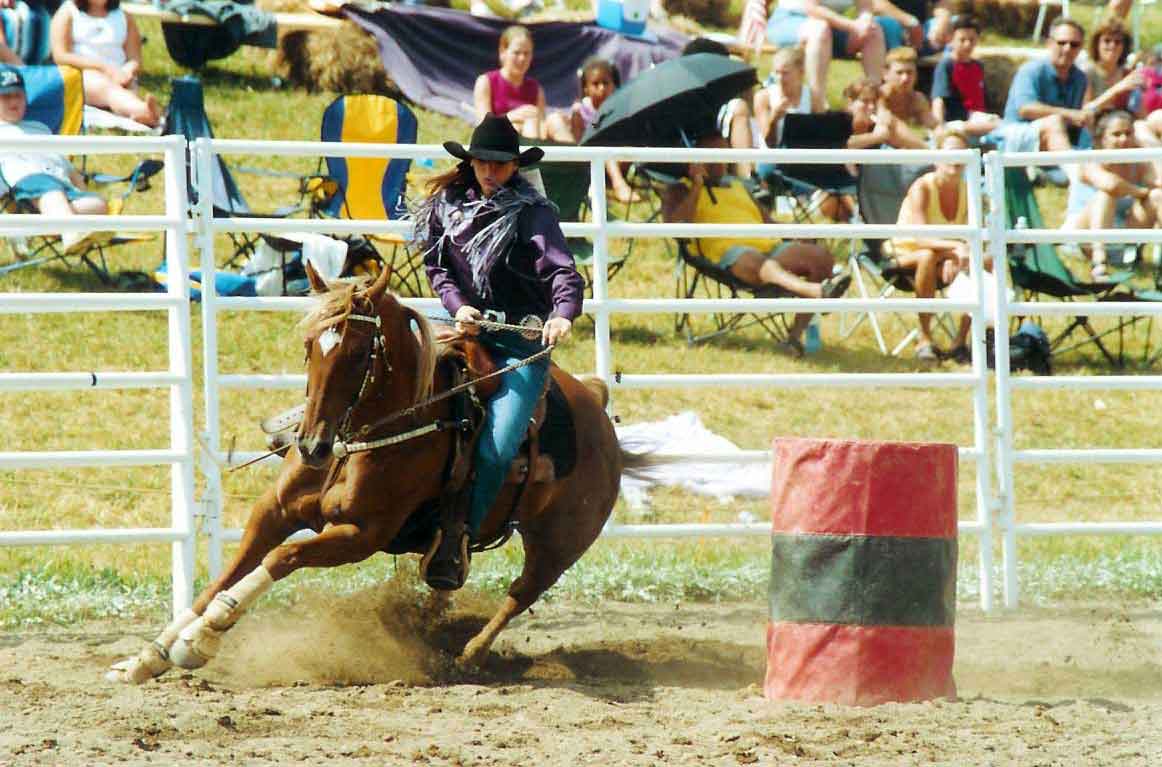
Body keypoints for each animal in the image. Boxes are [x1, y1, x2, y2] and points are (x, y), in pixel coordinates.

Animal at [109, 266, 636, 687]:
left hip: (560, 544)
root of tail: (595, 402)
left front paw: (204, 636)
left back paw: (467, 656)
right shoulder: (273, 512)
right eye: (309, 347)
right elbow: (223, 576)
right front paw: (148, 657)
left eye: (359, 354)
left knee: (521, 593)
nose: (311, 446)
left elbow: (282, 558)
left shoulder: (362, 535)